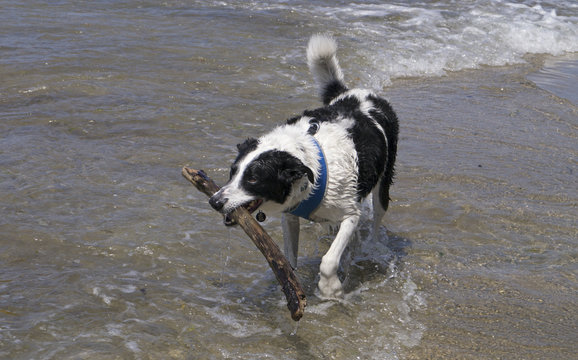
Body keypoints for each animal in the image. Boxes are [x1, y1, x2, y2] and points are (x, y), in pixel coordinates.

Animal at [209, 34, 398, 298]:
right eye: (233, 172)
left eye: (254, 178)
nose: (214, 201)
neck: (310, 164)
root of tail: (357, 93)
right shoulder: (290, 216)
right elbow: (288, 261)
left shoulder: (351, 214)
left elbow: (329, 260)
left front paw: (330, 289)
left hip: (384, 181)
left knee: (379, 212)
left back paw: (372, 246)